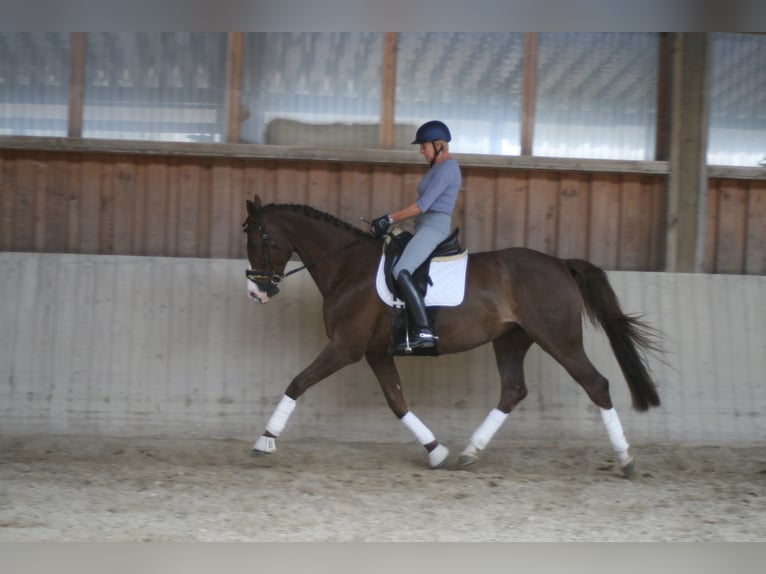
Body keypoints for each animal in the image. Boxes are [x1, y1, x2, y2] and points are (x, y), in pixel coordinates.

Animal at [243, 196, 664, 480]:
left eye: (255, 240)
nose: (257, 293)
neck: (348, 267)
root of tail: (561, 264)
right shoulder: (376, 351)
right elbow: (397, 401)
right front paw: (436, 451)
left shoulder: (346, 347)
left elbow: (297, 383)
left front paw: (265, 441)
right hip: (512, 340)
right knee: (513, 390)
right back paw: (470, 452)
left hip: (559, 340)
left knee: (596, 384)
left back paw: (626, 459)